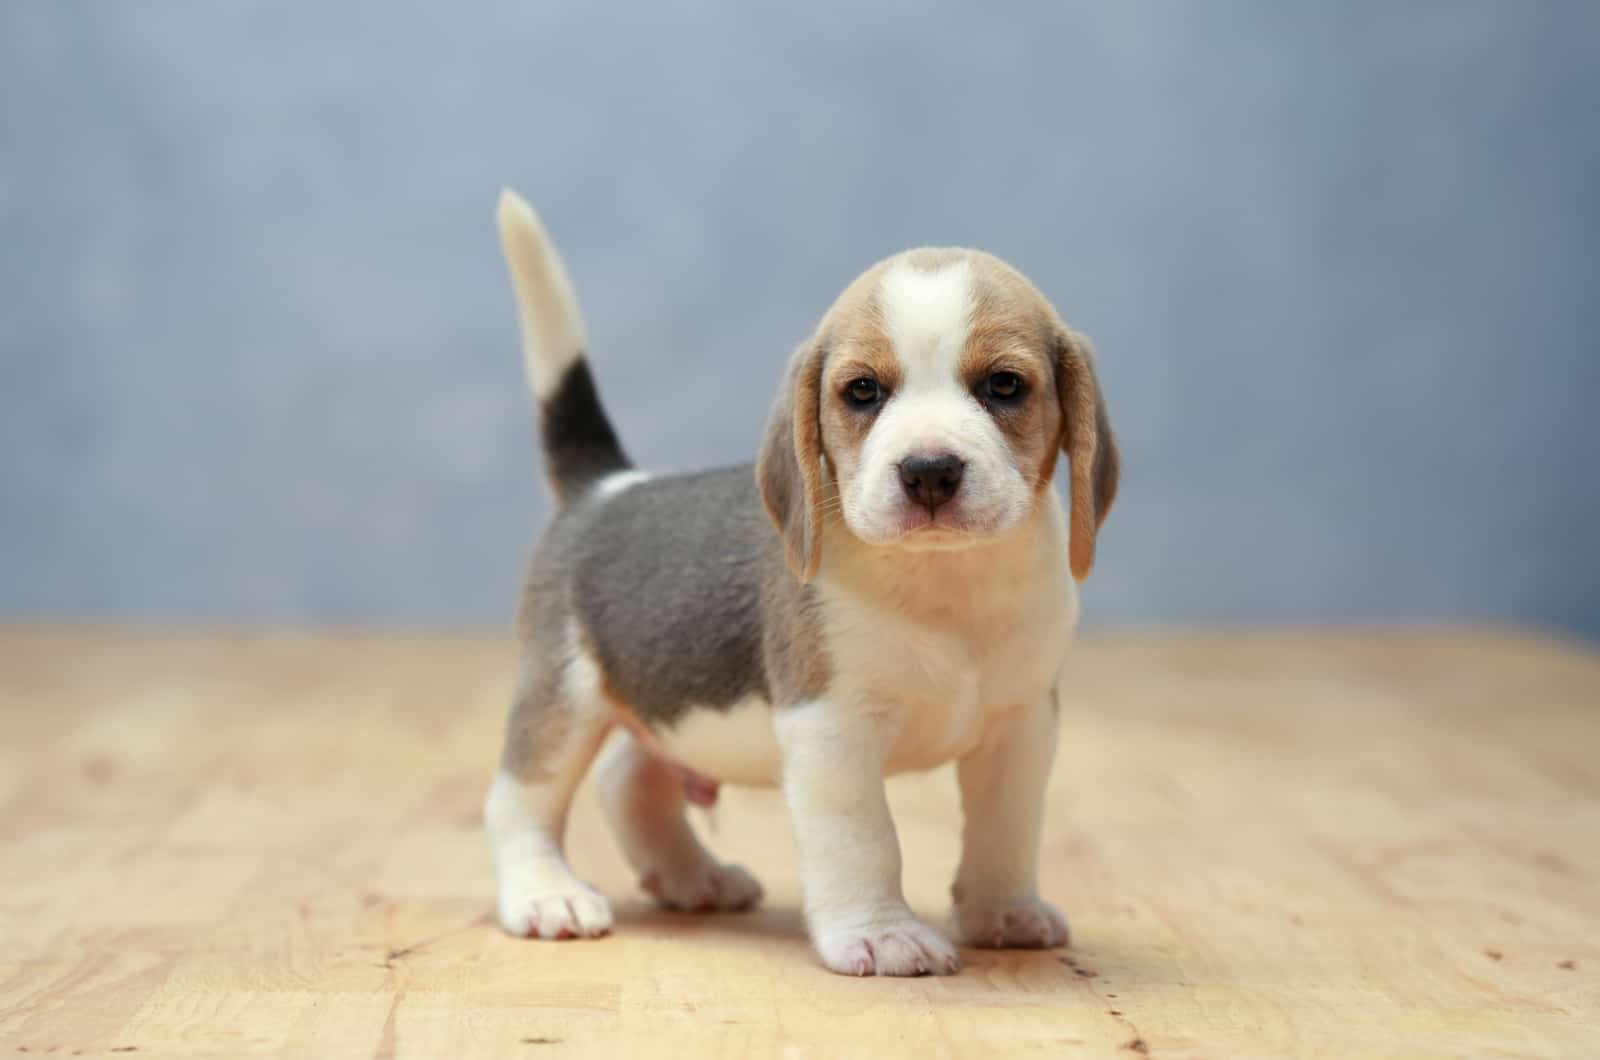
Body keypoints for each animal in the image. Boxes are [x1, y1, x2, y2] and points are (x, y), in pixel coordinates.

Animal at [480, 191, 1120, 979]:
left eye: (1005, 386)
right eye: (862, 391)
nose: (929, 470)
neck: (944, 579)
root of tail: (605, 487)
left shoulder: (1021, 725)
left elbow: (1006, 828)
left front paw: (1003, 910)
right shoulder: (831, 728)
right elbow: (864, 838)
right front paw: (881, 933)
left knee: (627, 782)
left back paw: (693, 876)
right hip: (561, 697)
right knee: (519, 801)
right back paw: (545, 894)